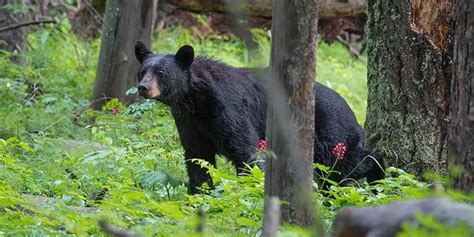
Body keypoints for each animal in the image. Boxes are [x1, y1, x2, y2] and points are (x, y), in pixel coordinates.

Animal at [134, 42, 386, 194]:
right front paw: (200, 194)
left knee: (348, 166)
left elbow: (246, 150)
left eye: (161, 73)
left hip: (332, 135)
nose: (143, 87)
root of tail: (350, 109)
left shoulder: (228, 109)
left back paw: (379, 175)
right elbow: (198, 157)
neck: (195, 98)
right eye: (143, 71)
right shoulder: (189, 121)